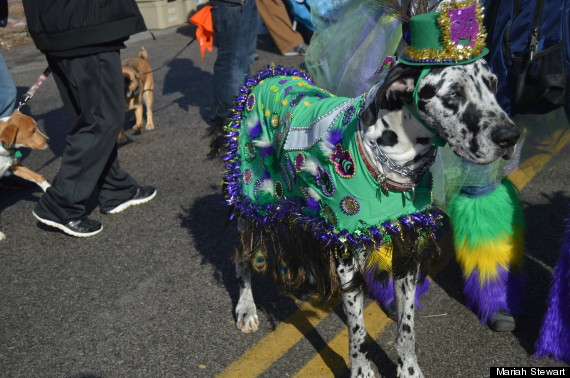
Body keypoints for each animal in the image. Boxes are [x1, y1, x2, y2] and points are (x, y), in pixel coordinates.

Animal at [0, 109, 50, 239]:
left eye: (36, 127)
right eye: (32, 131)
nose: (49, 141)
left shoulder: (14, 166)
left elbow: (37, 176)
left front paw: (48, 188)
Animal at [220, 60, 516, 376]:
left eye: (493, 83)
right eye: (454, 93)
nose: (510, 136)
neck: (390, 161)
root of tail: (267, 75)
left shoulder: (406, 245)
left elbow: (406, 329)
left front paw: (409, 369)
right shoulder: (348, 253)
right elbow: (358, 332)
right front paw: (362, 370)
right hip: (250, 198)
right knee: (242, 256)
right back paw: (246, 308)